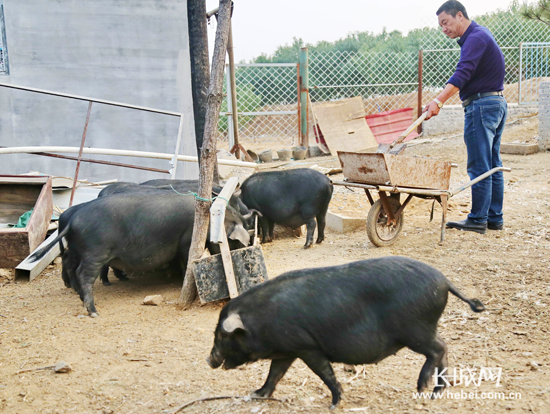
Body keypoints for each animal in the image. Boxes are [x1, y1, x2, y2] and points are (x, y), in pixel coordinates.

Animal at [208, 258, 488, 410]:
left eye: (221, 335)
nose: (209, 359)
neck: (261, 319)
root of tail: (445, 281)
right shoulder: (288, 349)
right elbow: (274, 373)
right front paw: (256, 394)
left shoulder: (307, 346)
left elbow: (325, 373)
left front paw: (334, 404)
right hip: (423, 330)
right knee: (443, 347)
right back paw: (437, 392)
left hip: (415, 330)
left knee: (438, 349)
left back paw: (422, 389)